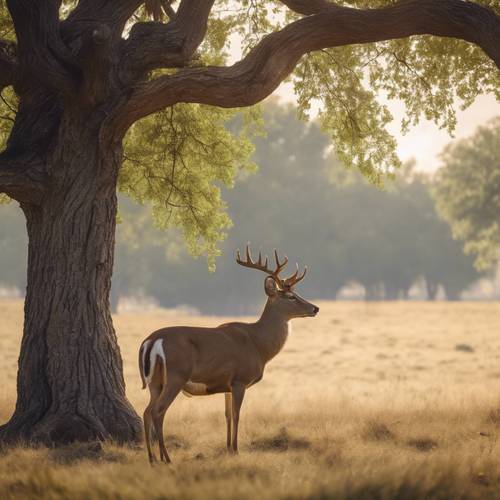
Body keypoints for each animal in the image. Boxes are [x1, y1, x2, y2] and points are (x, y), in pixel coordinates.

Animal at [139, 244, 318, 462]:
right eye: (291, 297)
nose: (315, 308)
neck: (259, 345)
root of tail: (151, 340)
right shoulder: (240, 379)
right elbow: (237, 414)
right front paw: (236, 449)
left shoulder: (226, 384)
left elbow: (227, 415)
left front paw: (227, 449)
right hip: (176, 376)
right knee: (158, 411)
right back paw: (166, 458)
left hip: (156, 381)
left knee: (147, 412)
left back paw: (152, 459)